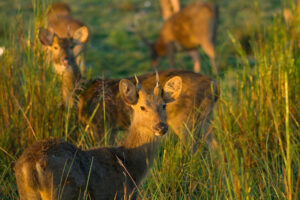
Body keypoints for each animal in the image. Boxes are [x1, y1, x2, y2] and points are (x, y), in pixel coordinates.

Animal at [15, 73, 182, 200]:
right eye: (142, 107)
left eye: (163, 105)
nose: (161, 127)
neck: (129, 164)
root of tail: (32, 165)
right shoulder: (121, 194)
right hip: (62, 191)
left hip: (28, 193)